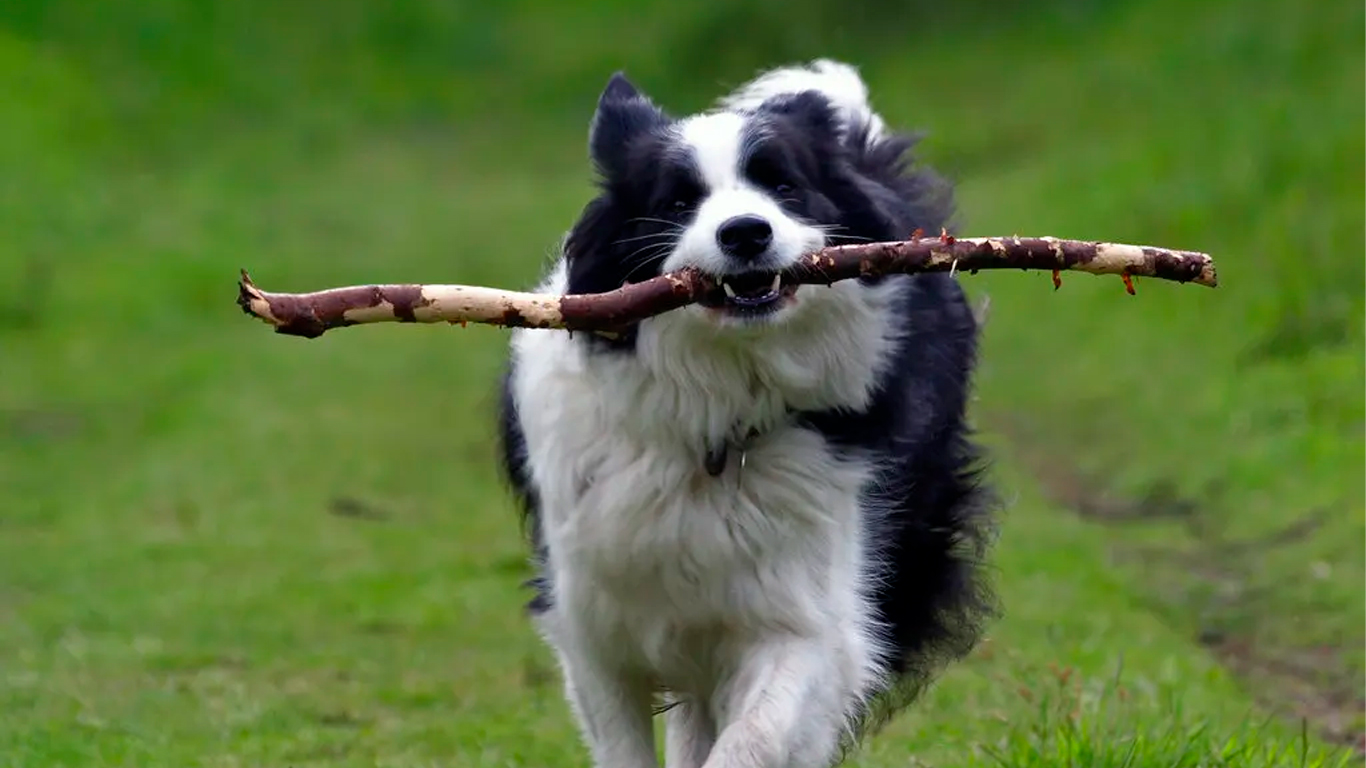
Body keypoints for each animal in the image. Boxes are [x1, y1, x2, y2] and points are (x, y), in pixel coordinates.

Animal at [497, 59, 999, 765]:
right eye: (677, 202)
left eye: (783, 185)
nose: (745, 232)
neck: (720, 402)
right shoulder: (593, 622)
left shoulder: (806, 614)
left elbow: (756, 735)